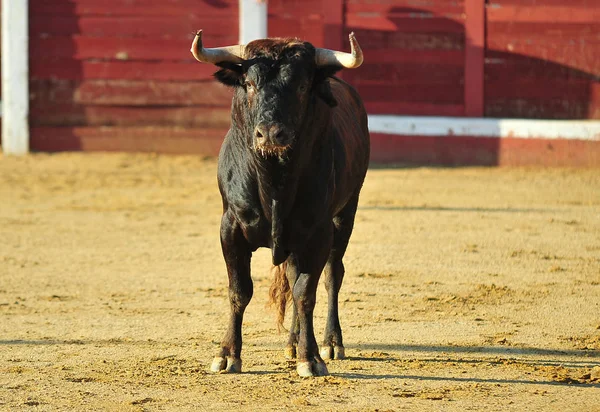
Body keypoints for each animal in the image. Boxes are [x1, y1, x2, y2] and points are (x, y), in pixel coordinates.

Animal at [191, 29, 370, 376]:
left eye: (301, 86)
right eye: (248, 84)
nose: (271, 134)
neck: (274, 182)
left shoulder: (318, 232)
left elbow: (305, 292)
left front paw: (310, 358)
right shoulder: (230, 227)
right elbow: (239, 290)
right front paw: (227, 354)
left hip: (346, 214)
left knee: (332, 275)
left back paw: (330, 343)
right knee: (290, 273)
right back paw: (291, 342)